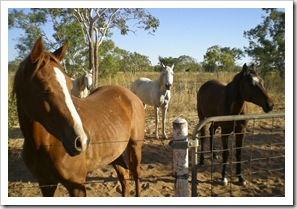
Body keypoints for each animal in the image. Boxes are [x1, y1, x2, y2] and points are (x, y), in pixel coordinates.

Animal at [12, 38, 145, 198]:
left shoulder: (77, 185)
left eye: (70, 87)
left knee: (136, 175)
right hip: (115, 152)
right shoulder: (46, 183)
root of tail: (131, 95)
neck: (43, 144)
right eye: (45, 90)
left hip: (135, 146)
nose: (82, 141)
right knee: (124, 176)